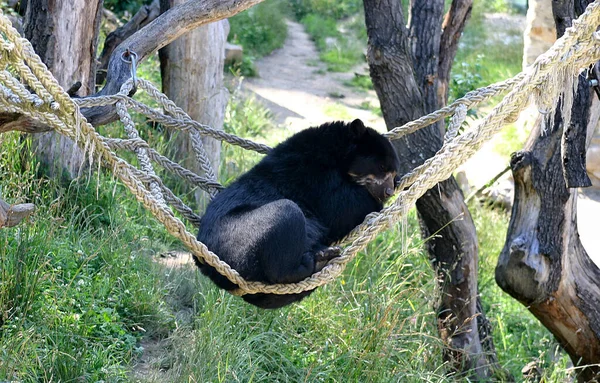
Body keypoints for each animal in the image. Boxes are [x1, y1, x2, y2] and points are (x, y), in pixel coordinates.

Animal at [197, 119, 400, 308]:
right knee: (287, 214)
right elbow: (342, 208)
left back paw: (322, 256)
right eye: (382, 167)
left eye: (393, 173)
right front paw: (375, 202)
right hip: (238, 237)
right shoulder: (314, 176)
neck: (338, 154)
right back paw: (314, 261)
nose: (389, 191)